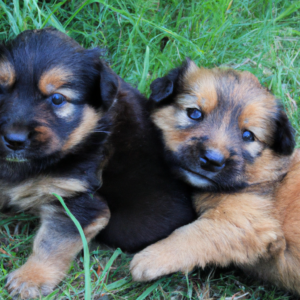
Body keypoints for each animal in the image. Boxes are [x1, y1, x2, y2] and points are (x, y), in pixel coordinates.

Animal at [130, 59, 300, 296]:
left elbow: (193, 233)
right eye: (194, 113)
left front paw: (151, 258)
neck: (268, 177)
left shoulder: (243, 221)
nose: (212, 160)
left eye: (248, 135)